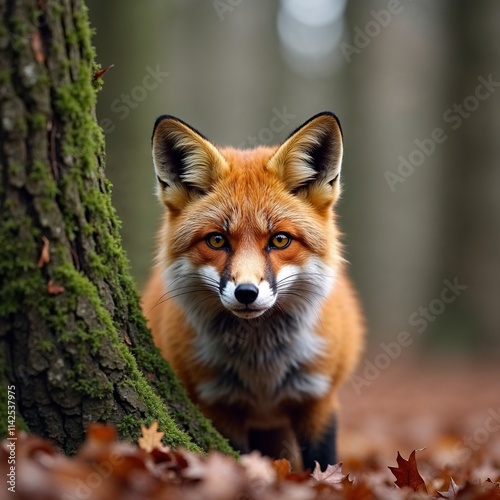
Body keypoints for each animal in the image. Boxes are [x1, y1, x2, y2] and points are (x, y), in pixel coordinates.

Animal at [143, 111, 366, 470]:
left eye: (280, 240)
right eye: (216, 240)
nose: (246, 293)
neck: (261, 368)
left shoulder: (318, 398)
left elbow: (323, 462)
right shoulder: (218, 404)